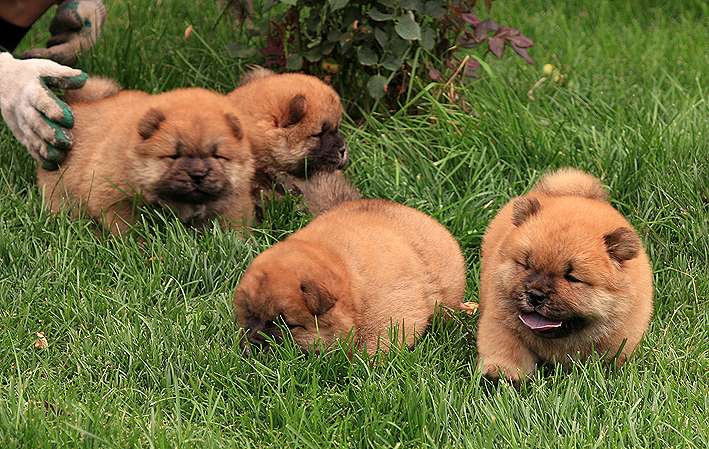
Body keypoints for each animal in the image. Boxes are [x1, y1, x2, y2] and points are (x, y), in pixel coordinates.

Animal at [37, 76, 254, 234]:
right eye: (174, 156)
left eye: (217, 156)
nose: (198, 175)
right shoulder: (112, 196)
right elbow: (128, 227)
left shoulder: (235, 202)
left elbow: (233, 225)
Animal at [476, 167, 652, 382]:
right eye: (526, 265)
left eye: (572, 278)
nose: (535, 295)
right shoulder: (501, 322)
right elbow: (505, 350)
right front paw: (500, 376)